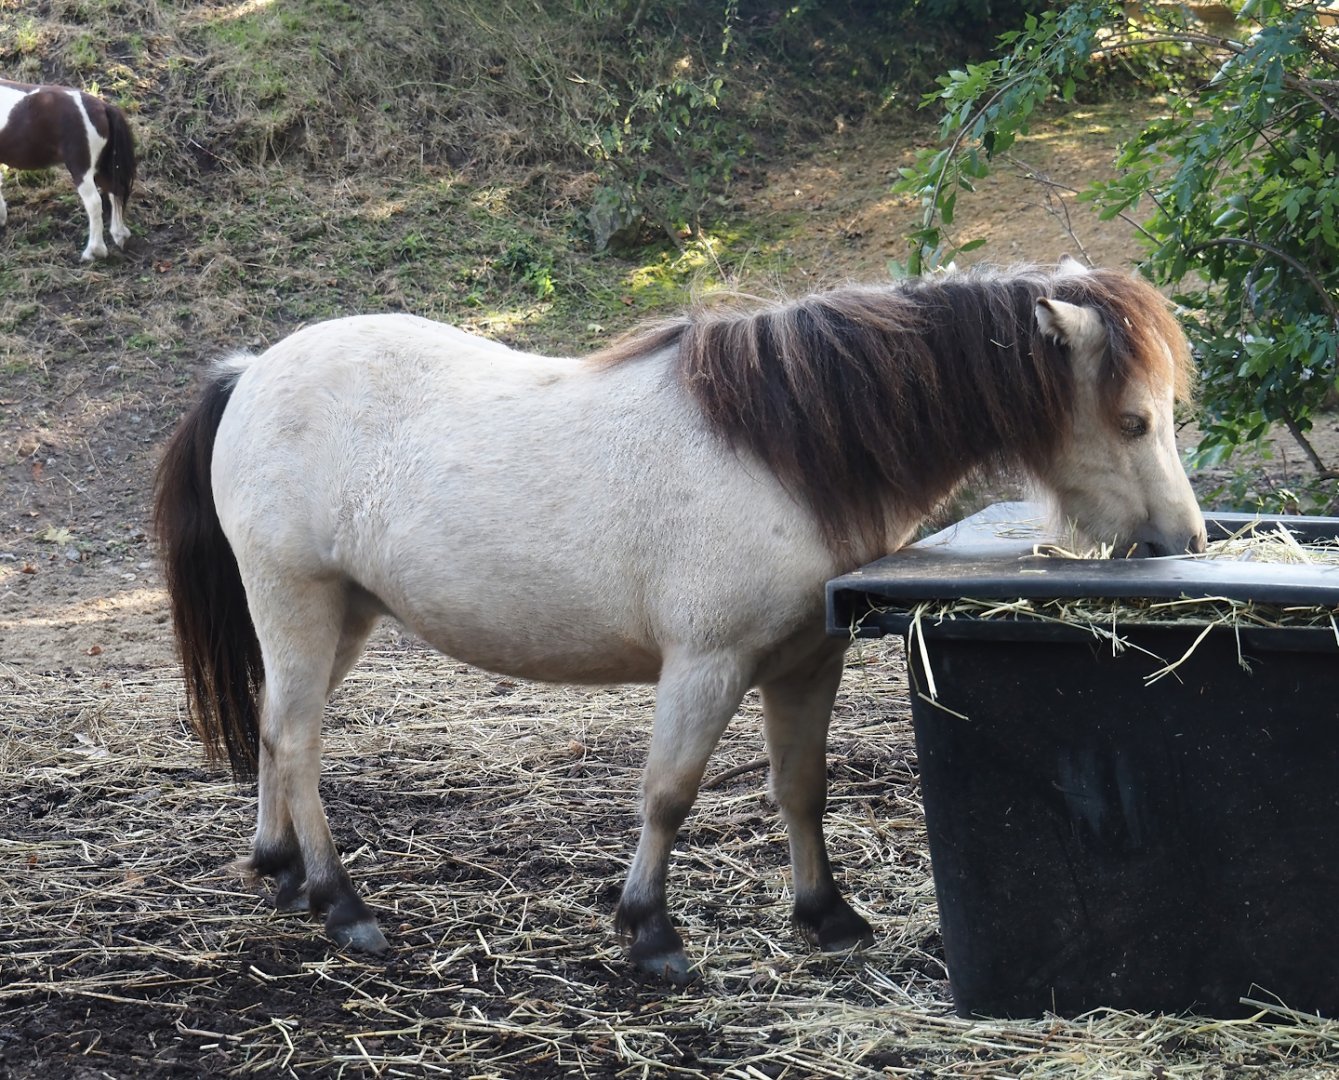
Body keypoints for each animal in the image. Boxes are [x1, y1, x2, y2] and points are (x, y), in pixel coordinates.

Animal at [0, 79, 135, 261]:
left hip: (81, 169)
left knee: (94, 202)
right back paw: (119, 235)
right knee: (115, 191)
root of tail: (103, 107)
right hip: (102, 167)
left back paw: (94, 251)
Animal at [153, 259, 1207, 982]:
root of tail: (253, 371)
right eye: (1130, 420)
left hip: (343, 616)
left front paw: (826, 916)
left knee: (275, 733)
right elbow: (667, 794)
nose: (1181, 540)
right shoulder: (706, 664)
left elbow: (801, 789)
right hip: (295, 599)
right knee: (296, 738)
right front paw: (649, 931)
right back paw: (341, 903)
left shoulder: (803, 661)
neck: (782, 449)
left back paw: (280, 868)